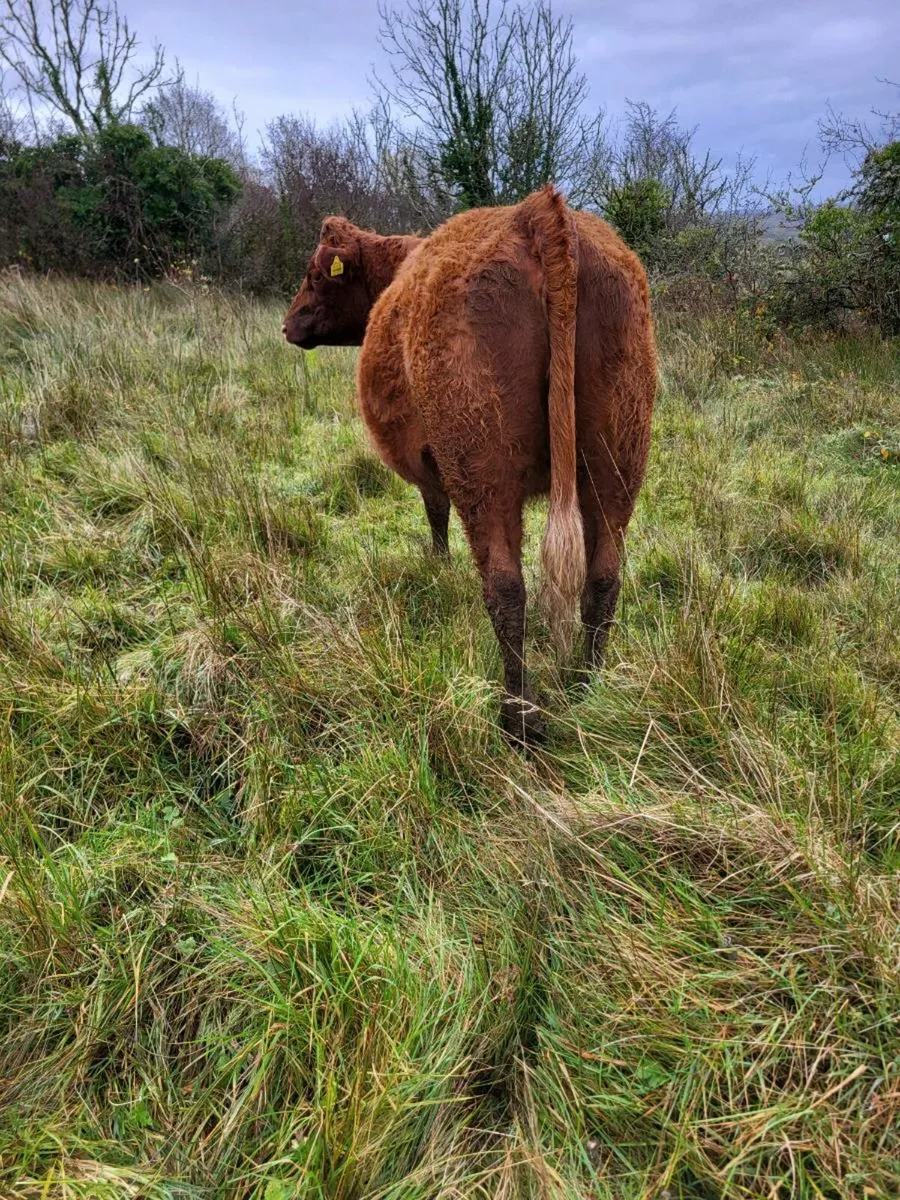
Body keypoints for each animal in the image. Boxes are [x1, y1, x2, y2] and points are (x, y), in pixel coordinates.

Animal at [283, 187, 657, 743]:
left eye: (314, 274)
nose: (287, 324)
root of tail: (536, 211)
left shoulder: (429, 463)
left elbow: (435, 514)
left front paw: (438, 564)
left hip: (483, 467)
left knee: (506, 588)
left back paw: (518, 716)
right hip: (616, 465)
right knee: (602, 580)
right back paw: (587, 691)